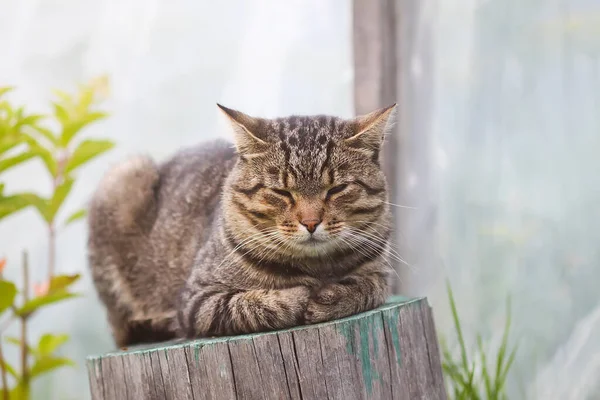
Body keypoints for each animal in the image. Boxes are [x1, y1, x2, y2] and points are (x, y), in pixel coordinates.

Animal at [84, 104, 394, 346]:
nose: (310, 222)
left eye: (337, 189)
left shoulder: (381, 273)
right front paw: (299, 296)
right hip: (123, 177)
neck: (316, 267)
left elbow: (371, 287)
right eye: (282, 192)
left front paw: (333, 295)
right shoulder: (196, 299)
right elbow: (247, 304)